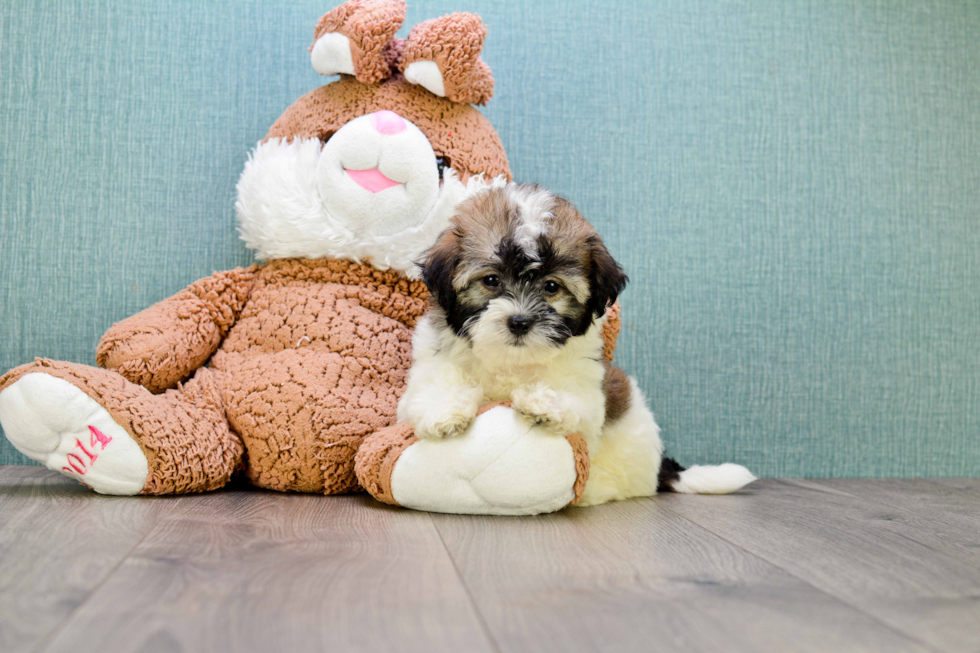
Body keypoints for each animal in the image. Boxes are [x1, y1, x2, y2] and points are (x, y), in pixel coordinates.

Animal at [394, 182, 756, 504]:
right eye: (492, 280)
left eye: (552, 287)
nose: (519, 322)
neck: (511, 360)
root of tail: (660, 468)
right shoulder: (430, 363)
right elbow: (438, 381)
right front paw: (445, 410)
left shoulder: (587, 392)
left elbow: (573, 401)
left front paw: (540, 402)